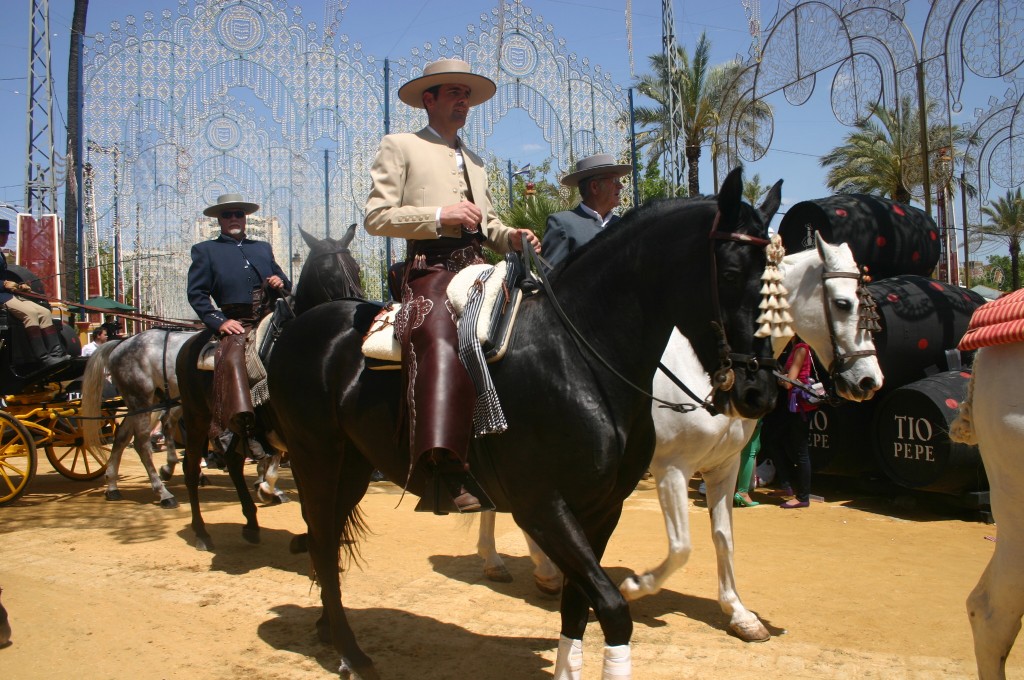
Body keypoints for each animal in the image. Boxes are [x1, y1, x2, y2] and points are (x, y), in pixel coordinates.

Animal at [176, 223, 364, 553]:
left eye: (356, 268)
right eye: (326, 272)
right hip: (196, 416)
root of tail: (188, 344)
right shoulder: (298, 435)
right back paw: (201, 532)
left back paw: (251, 522)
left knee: (234, 462)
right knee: (190, 468)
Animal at [268, 166, 778, 675]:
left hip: (352, 465)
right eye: (731, 273)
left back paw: (330, 629)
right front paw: (634, 589)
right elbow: (614, 607)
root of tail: (303, 325)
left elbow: (580, 604)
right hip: (315, 459)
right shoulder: (543, 504)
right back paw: (351, 653)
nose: (760, 391)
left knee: (328, 538)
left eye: (774, 278)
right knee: (321, 541)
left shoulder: (602, 508)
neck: (577, 355)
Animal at [475, 231, 884, 639]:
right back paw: (500, 561)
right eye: (843, 303)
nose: (869, 381)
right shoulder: (672, 468)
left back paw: (542, 569)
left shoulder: (724, 466)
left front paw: (739, 613)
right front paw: (636, 586)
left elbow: (723, 537)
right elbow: (681, 546)